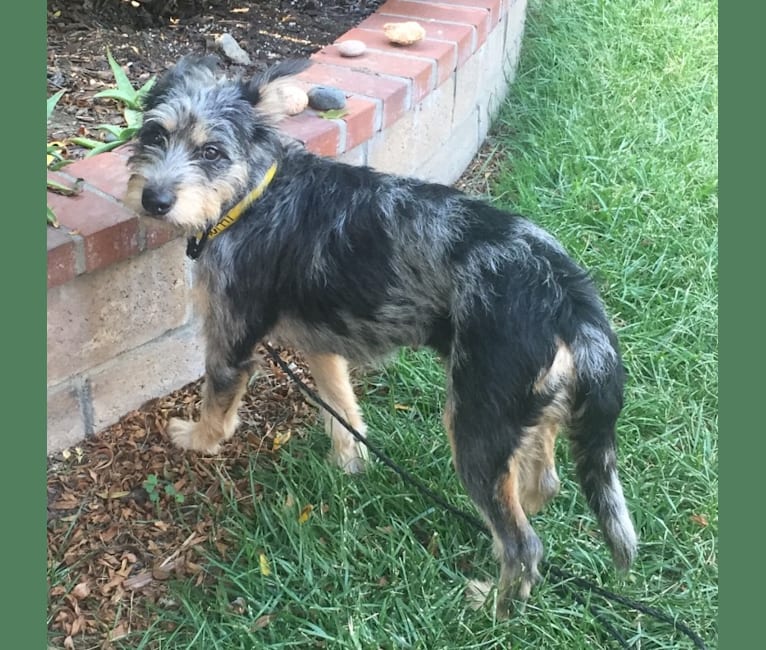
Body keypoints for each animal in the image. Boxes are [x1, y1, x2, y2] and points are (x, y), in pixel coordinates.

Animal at [129, 55, 640, 612]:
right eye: (154, 134)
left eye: (211, 152)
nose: (154, 199)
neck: (255, 192)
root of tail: (570, 298)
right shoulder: (322, 345)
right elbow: (341, 405)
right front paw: (348, 462)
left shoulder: (230, 344)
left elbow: (216, 410)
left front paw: (196, 440)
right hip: (526, 412)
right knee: (542, 484)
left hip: (475, 427)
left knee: (523, 545)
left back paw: (489, 606)